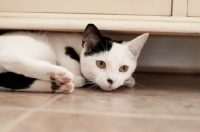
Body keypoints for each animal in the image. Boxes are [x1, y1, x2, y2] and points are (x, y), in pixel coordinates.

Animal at [0, 23, 148, 93]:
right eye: (100, 64)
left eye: (123, 68)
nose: (111, 81)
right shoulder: (59, 40)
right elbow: (71, 61)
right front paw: (78, 77)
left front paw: (128, 80)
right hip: (41, 48)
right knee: (9, 58)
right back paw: (59, 74)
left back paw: (57, 85)